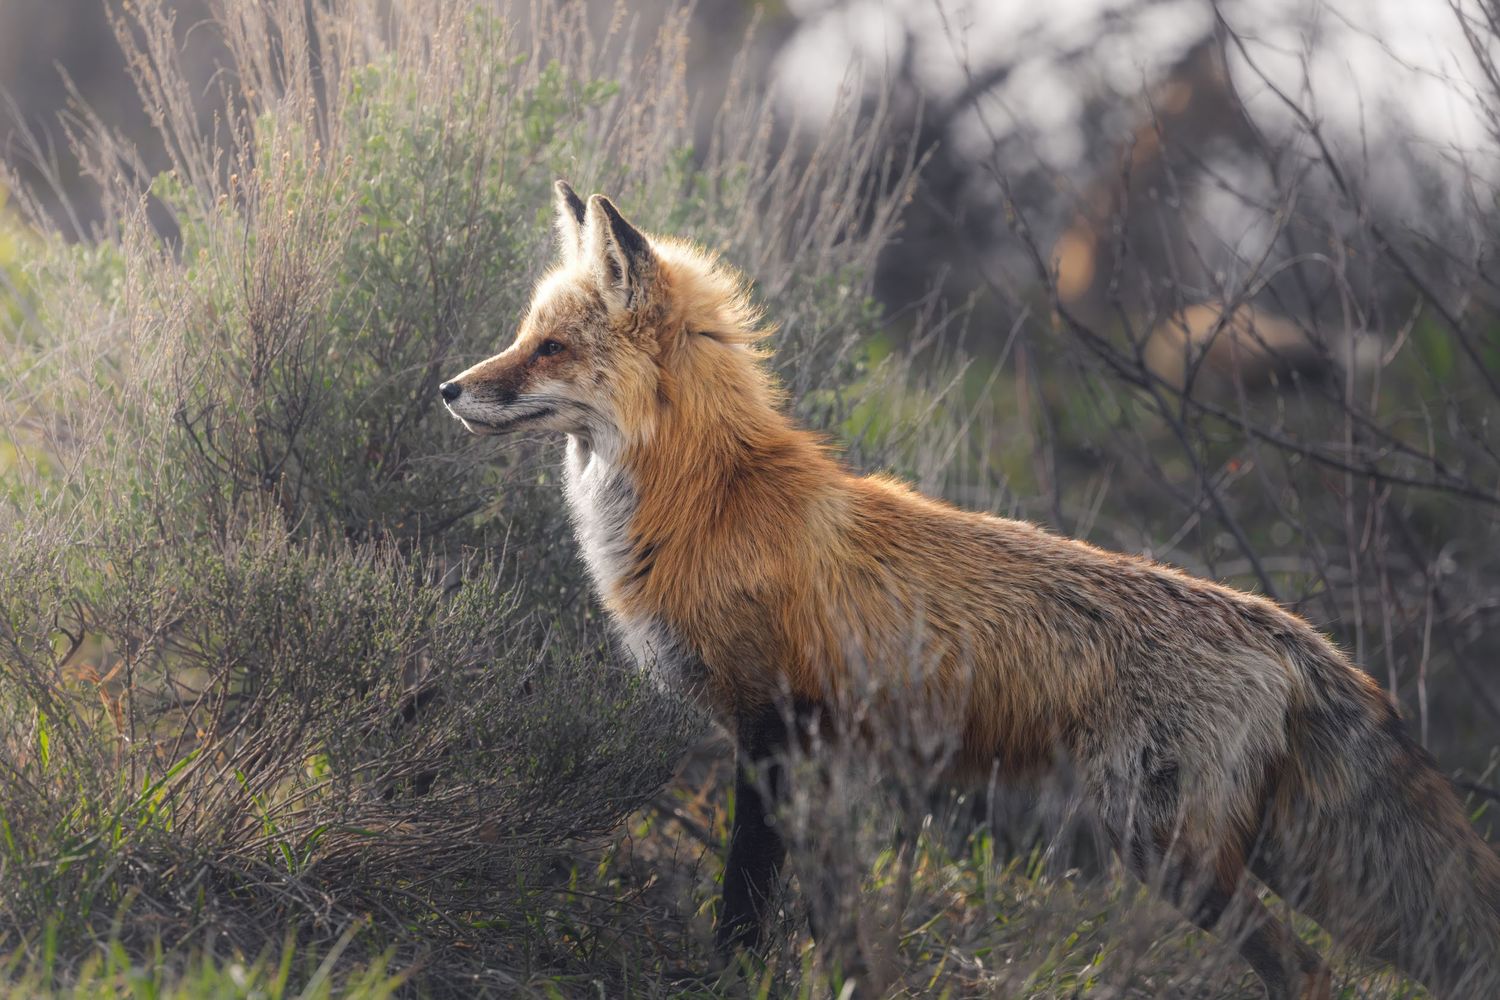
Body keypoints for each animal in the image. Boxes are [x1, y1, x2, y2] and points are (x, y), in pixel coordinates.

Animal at [438, 181, 1500, 999]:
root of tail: (1289, 629)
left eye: (550, 348)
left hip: (1171, 851)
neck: (709, 499)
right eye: (525, 334)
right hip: (1251, 852)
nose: (449, 389)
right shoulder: (817, 750)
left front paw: (725, 978)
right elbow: (831, 914)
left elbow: (745, 898)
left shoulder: (771, 728)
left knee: (1309, 969)